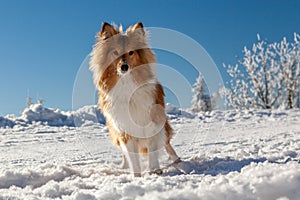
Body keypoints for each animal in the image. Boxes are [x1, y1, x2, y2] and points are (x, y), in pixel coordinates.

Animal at [88, 21, 179, 177]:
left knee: (167, 143)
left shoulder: (151, 124)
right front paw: (136, 176)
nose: (124, 67)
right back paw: (124, 166)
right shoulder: (124, 130)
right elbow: (132, 157)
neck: (127, 85)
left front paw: (155, 170)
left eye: (131, 52)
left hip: (163, 124)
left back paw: (177, 160)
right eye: (115, 52)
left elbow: (153, 150)